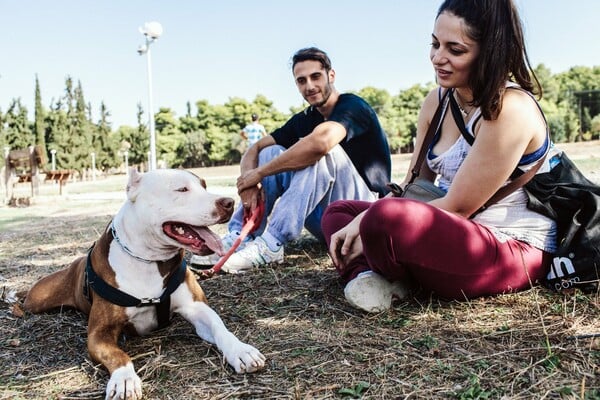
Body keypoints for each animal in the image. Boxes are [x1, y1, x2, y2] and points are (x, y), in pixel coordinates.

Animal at [23, 169, 266, 400]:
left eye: (204, 186)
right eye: (181, 189)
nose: (229, 202)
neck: (149, 260)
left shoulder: (196, 307)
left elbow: (219, 327)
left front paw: (240, 350)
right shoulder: (99, 334)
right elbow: (118, 355)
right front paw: (125, 379)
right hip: (37, 299)